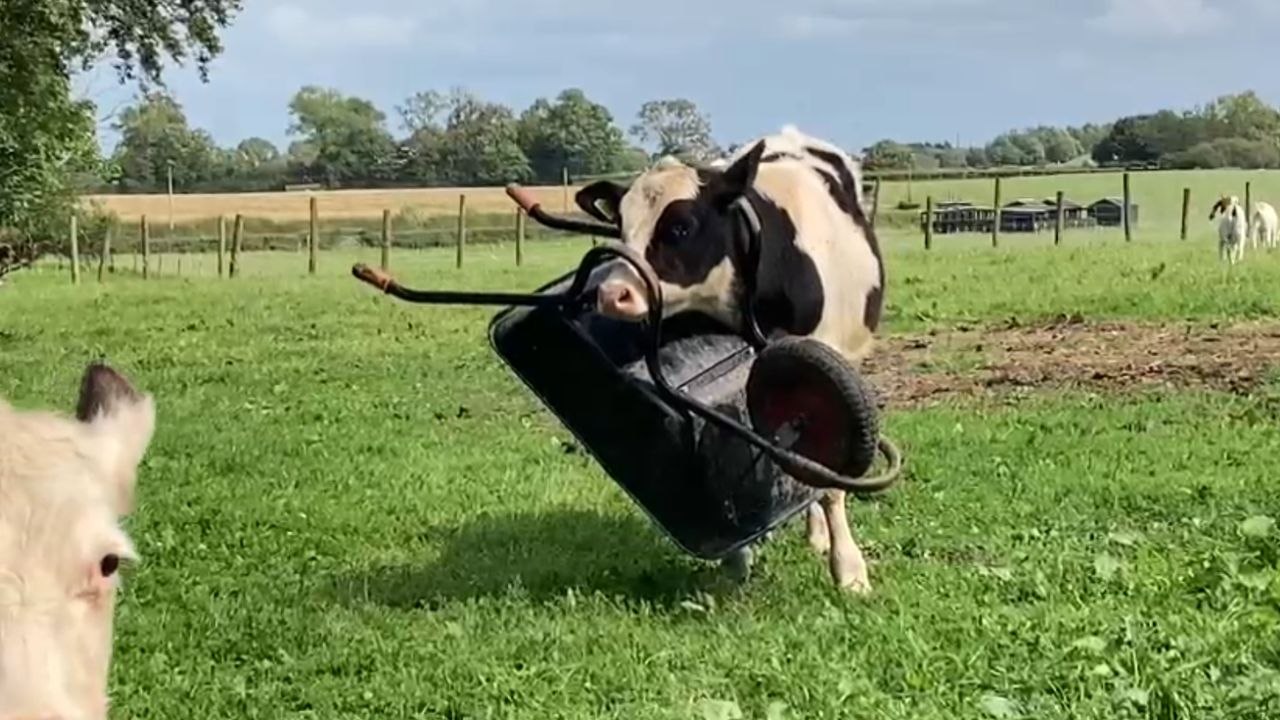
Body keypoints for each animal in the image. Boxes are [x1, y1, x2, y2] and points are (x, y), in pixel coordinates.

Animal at [574, 125, 886, 593]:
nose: (613, 293)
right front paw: (737, 559)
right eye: (620, 226)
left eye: (681, 227)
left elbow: (830, 480)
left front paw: (849, 571)